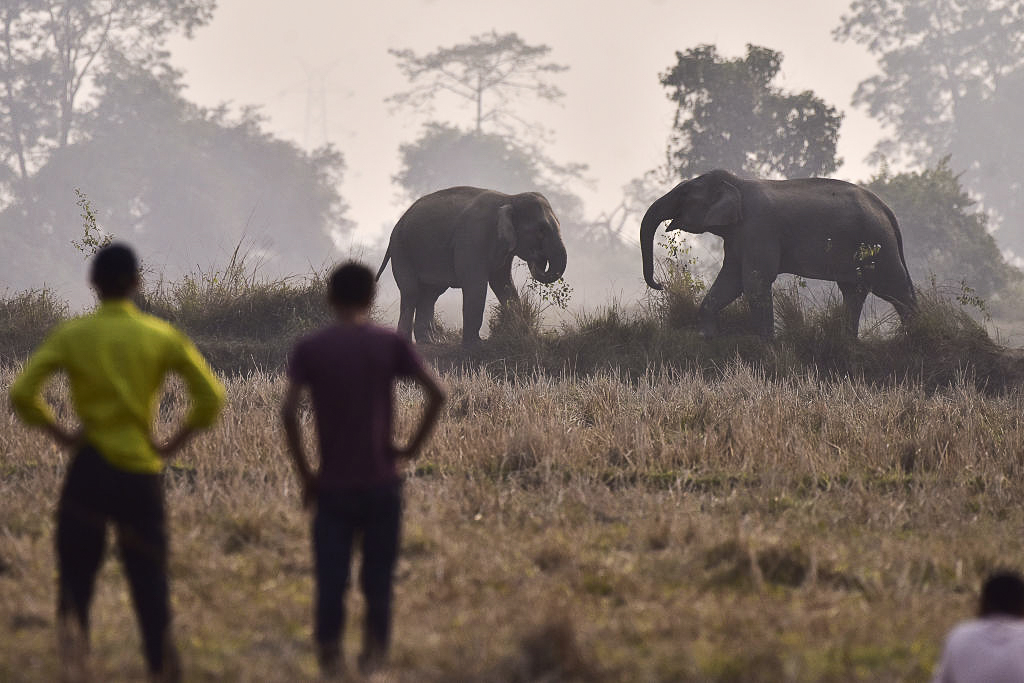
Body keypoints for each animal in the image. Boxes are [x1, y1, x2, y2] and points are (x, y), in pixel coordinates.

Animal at [376, 186, 567, 345]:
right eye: (541, 230)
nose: (538, 258)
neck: (510, 198)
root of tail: (398, 222)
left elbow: (503, 283)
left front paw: (523, 334)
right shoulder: (473, 236)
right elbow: (475, 284)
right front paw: (475, 344)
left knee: (430, 294)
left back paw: (431, 342)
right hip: (401, 249)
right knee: (411, 292)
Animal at [640, 169, 917, 338]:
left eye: (684, 194)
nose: (660, 284)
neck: (737, 183)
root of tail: (886, 210)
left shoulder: (759, 228)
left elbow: (753, 282)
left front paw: (766, 345)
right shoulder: (739, 235)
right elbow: (730, 281)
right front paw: (707, 337)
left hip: (877, 244)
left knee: (894, 287)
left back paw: (914, 335)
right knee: (854, 291)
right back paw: (849, 341)